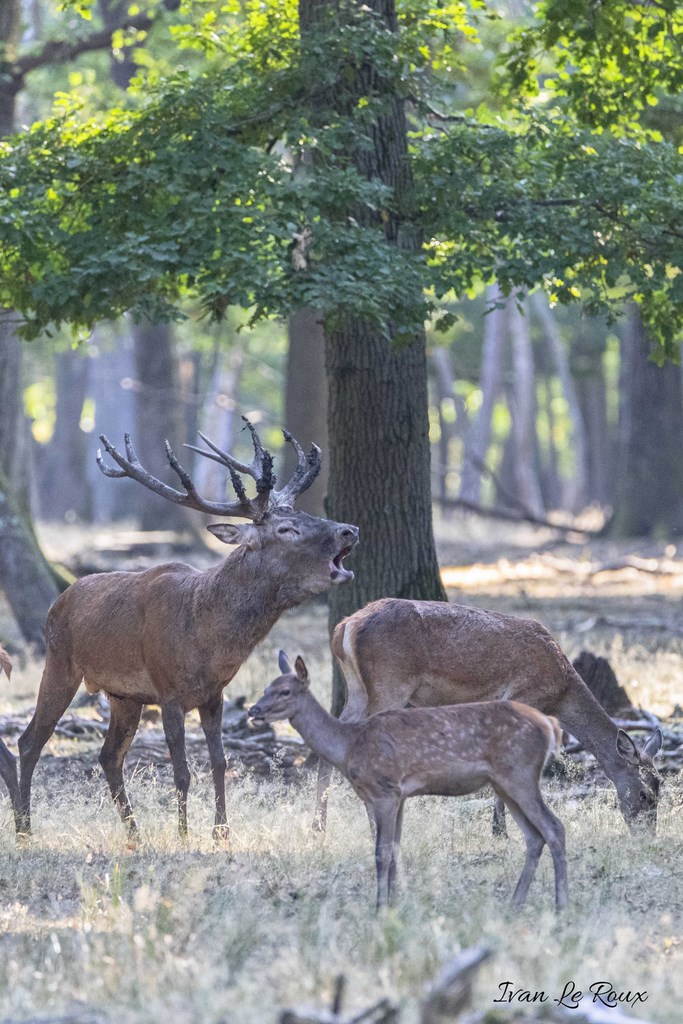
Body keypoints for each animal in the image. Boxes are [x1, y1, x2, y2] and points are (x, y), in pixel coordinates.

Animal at [16, 420, 358, 840]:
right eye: (287, 528)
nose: (349, 530)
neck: (207, 638)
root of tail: (59, 600)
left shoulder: (214, 694)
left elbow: (220, 762)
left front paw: (221, 833)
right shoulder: (168, 692)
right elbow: (181, 772)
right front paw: (183, 835)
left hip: (123, 695)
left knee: (109, 756)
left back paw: (134, 834)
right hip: (59, 661)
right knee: (30, 741)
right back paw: (24, 829)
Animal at [250, 652, 568, 911]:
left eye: (285, 691)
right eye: (266, 688)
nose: (254, 710)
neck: (349, 746)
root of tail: (550, 725)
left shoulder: (384, 790)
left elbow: (381, 852)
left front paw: (379, 908)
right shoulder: (400, 795)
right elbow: (395, 849)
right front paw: (394, 903)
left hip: (520, 773)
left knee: (554, 828)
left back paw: (560, 906)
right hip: (504, 782)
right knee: (534, 836)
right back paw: (515, 904)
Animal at [314, 599, 663, 836]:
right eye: (645, 794)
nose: (646, 833)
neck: (560, 691)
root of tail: (344, 627)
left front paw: (499, 829)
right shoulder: (522, 696)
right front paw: (501, 831)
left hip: (358, 688)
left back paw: (321, 824)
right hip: (390, 682)